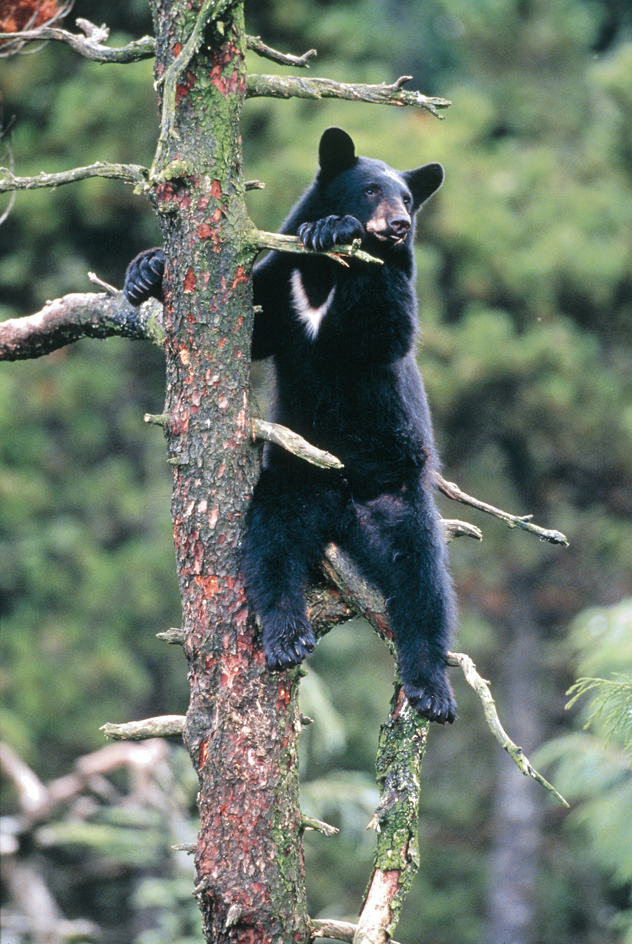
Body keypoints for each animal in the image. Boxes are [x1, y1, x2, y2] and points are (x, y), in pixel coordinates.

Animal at [124, 127, 460, 724]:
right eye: (371, 189)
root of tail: (343, 513)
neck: (325, 274)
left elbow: (386, 329)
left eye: (407, 197)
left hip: (398, 501)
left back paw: (431, 689)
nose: (399, 224)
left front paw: (338, 231)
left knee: (423, 585)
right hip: (292, 483)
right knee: (270, 548)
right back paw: (287, 636)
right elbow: (258, 326)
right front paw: (148, 269)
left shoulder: (378, 309)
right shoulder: (283, 282)